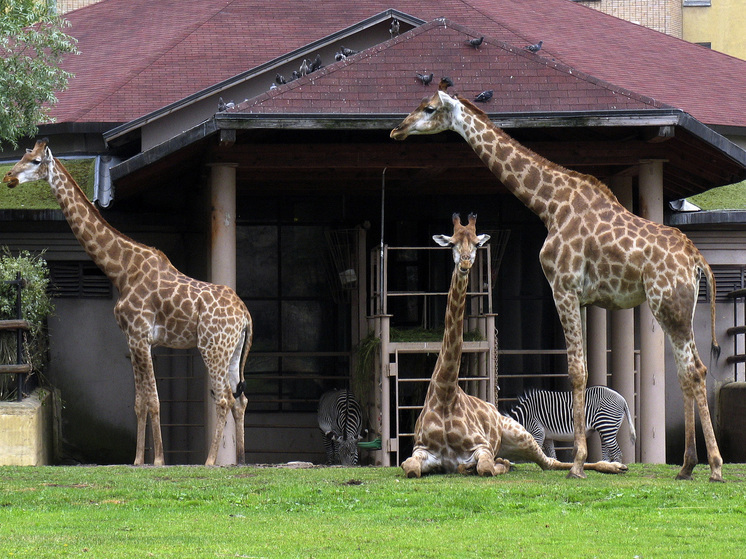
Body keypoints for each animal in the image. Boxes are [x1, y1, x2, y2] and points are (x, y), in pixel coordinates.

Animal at [1, 140, 253, 468]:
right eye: (22, 155)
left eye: (34, 161)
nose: (8, 177)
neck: (120, 269)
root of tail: (245, 315)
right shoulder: (132, 340)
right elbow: (139, 402)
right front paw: (137, 460)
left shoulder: (140, 336)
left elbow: (153, 400)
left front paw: (157, 460)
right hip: (233, 351)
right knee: (240, 398)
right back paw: (241, 460)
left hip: (212, 348)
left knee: (224, 398)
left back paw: (210, 461)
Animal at [508, 384, 636, 464]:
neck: (525, 416)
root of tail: (623, 399)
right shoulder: (547, 436)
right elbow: (551, 453)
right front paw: (554, 465)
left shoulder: (538, 431)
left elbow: (536, 449)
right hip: (605, 428)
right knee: (607, 449)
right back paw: (604, 464)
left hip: (606, 425)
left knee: (617, 452)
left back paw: (617, 468)